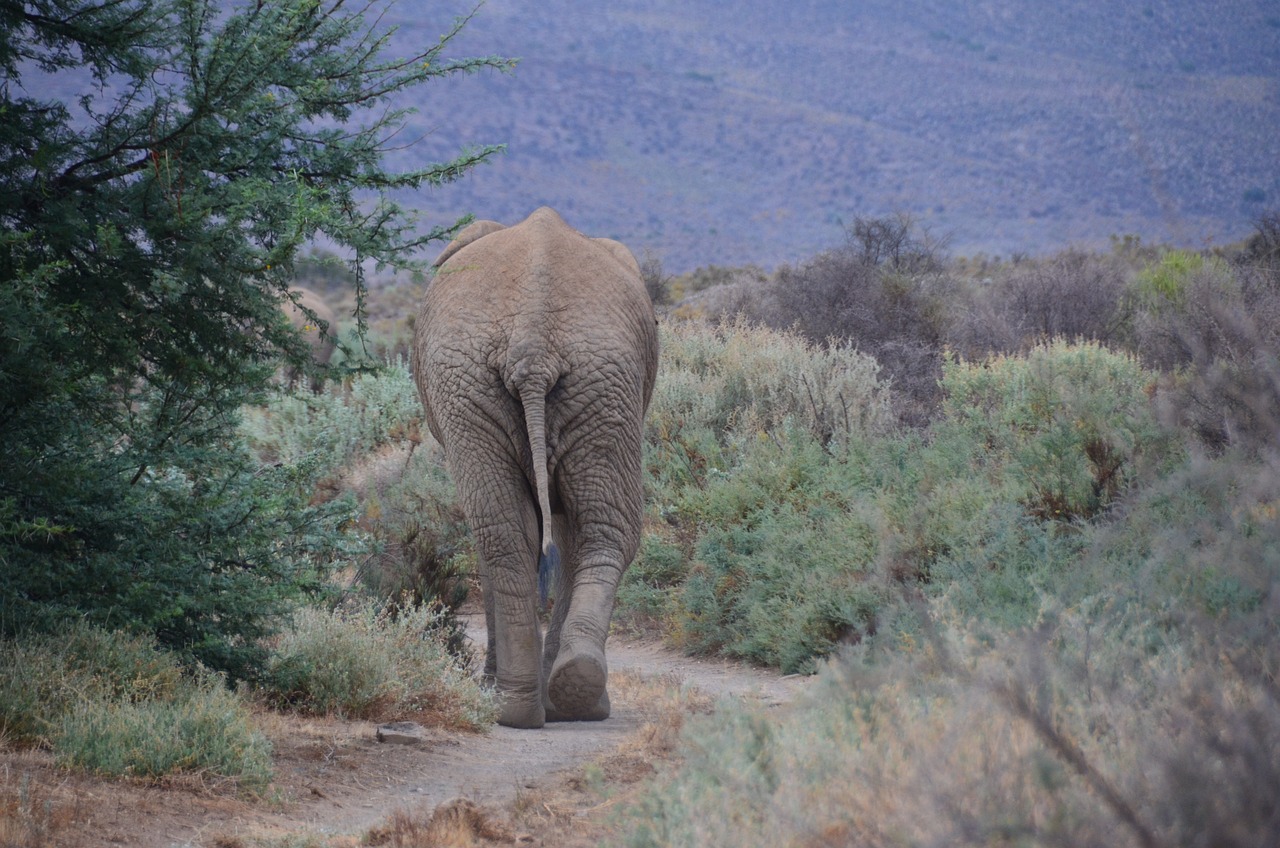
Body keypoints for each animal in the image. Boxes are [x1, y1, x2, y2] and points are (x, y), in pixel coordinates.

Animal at [414, 207, 660, 732]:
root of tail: (534, 345)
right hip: (568, 383)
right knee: (560, 530)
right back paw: (551, 701)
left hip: (568, 381)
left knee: (539, 531)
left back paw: (535, 706)